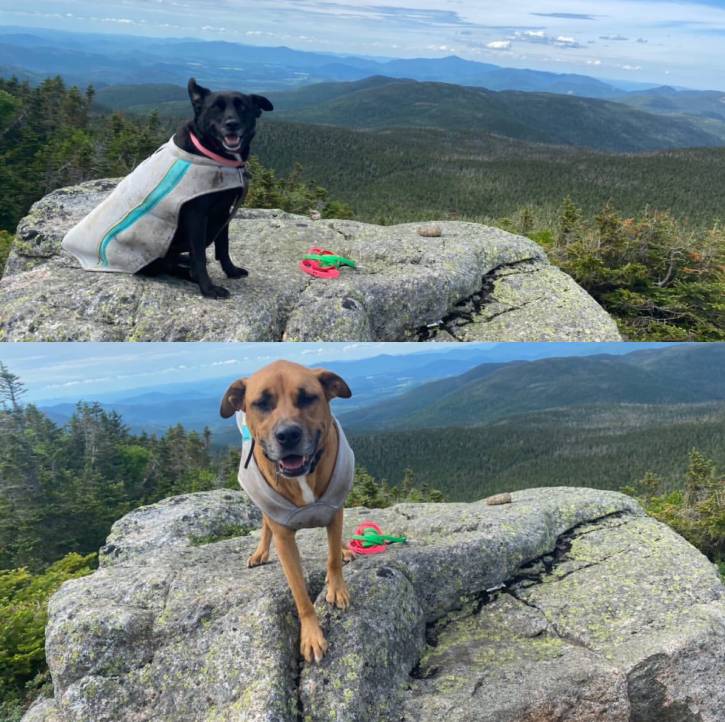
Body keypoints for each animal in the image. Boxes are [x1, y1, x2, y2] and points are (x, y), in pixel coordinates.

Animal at [141, 80, 274, 300]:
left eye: (242, 107)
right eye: (215, 107)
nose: (232, 124)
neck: (213, 154)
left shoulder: (223, 212)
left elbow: (224, 245)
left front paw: (231, 271)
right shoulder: (196, 216)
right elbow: (200, 256)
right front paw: (208, 288)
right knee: (166, 266)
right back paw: (189, 273)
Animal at [221, 362, 356, 660]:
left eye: (307, 398)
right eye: (261, 403)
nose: (288, 435)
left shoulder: (334, 510)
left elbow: (332, 558)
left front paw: (337, 588)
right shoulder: (284, 539)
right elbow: (300, 593)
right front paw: (311, 635)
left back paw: (344, 549)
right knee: (264, 523)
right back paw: (260, 552)